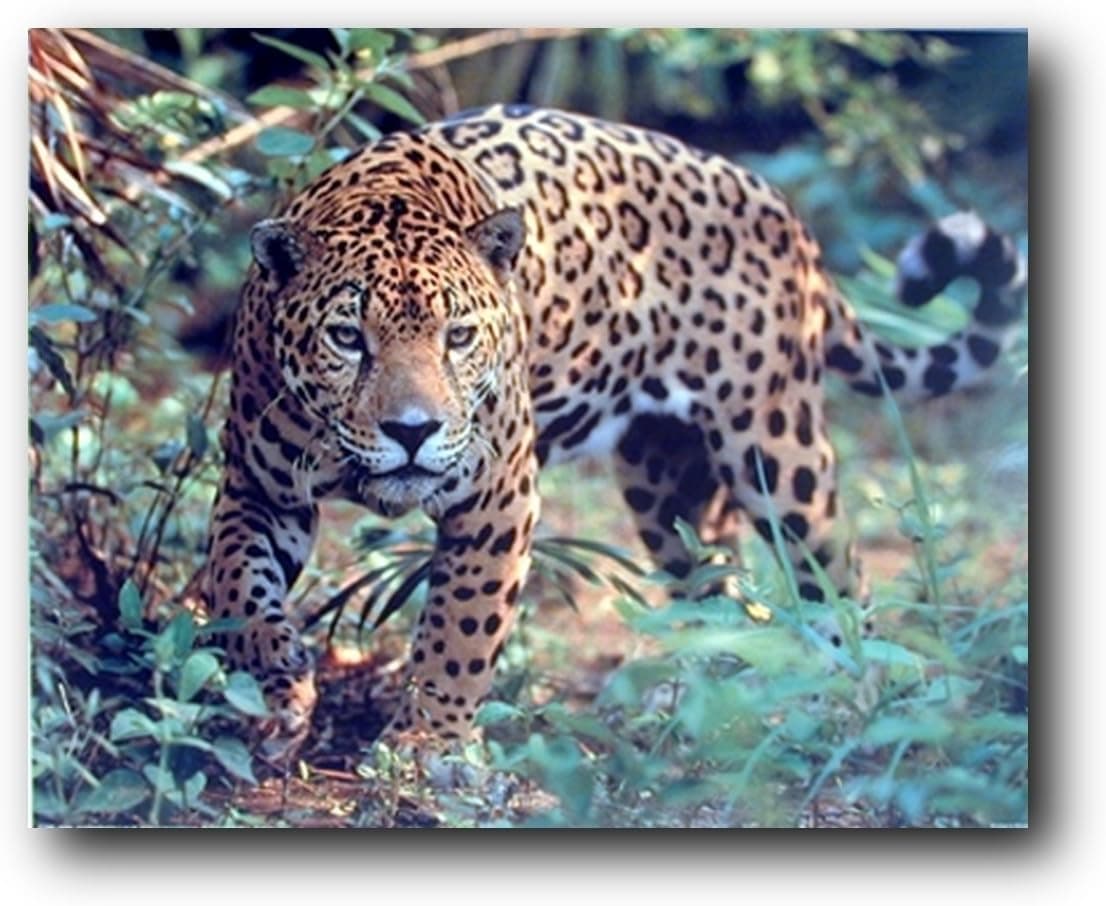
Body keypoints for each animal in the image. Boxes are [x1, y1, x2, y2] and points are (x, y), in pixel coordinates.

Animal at [202, 103, 1025, 755]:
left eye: (458, 337)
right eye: (348, 338)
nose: (413, 430)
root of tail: (780, 207)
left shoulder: (498, 495)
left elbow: (460, 631)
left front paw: (424, 745)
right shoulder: (256, 485)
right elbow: (237, 583)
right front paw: (277, 680)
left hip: (778, 453)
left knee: (838, 575)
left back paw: (856, 694)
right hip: (666, 478)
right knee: (714, 582)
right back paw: (702, 696)